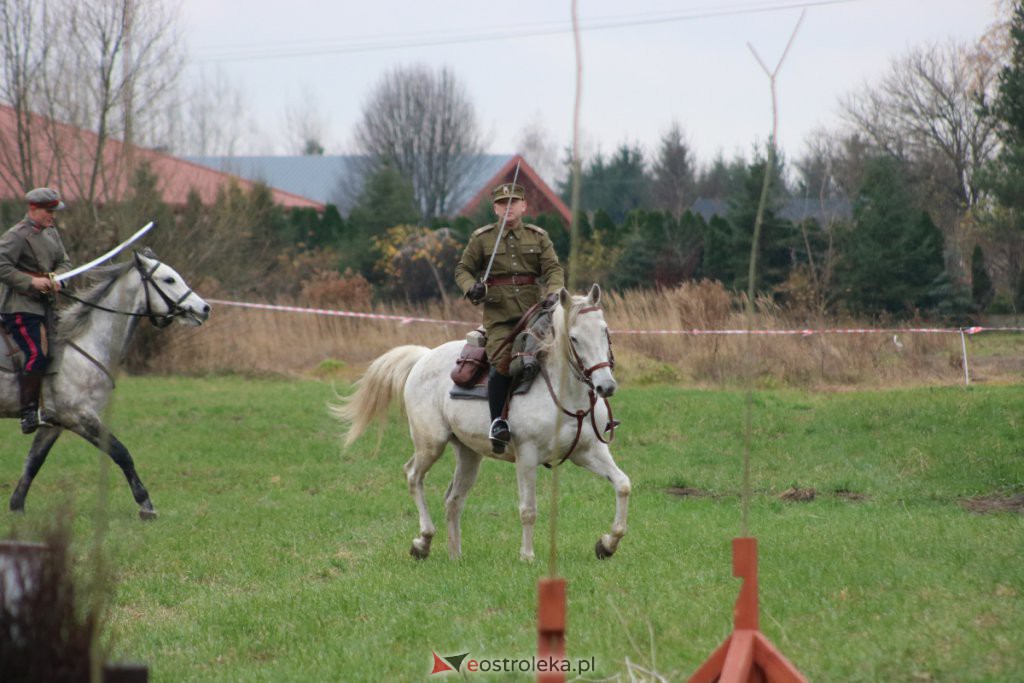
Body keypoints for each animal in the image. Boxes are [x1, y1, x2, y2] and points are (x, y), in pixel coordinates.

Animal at [0, 250, 209, 518]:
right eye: (168, 279)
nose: (205, 308)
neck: (84, 344)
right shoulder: (79, 416)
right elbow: (121, 452)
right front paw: (146, 504)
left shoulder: (55, 422)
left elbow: (33, 462)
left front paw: (17, 507)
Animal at [331, 282, 626, 561]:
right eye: (574, 339)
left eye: (605, 331)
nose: (606, 386)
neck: (565, 395)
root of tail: (424, 357)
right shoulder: (527, 456)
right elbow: (528, 509)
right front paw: (527, 555)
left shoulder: (589, 451)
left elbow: (623, 484)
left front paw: (607, 545)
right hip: (431, 444)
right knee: (413, 475)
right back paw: (422, 542)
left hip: (469, 454)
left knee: (453, 499)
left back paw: (455, 555)